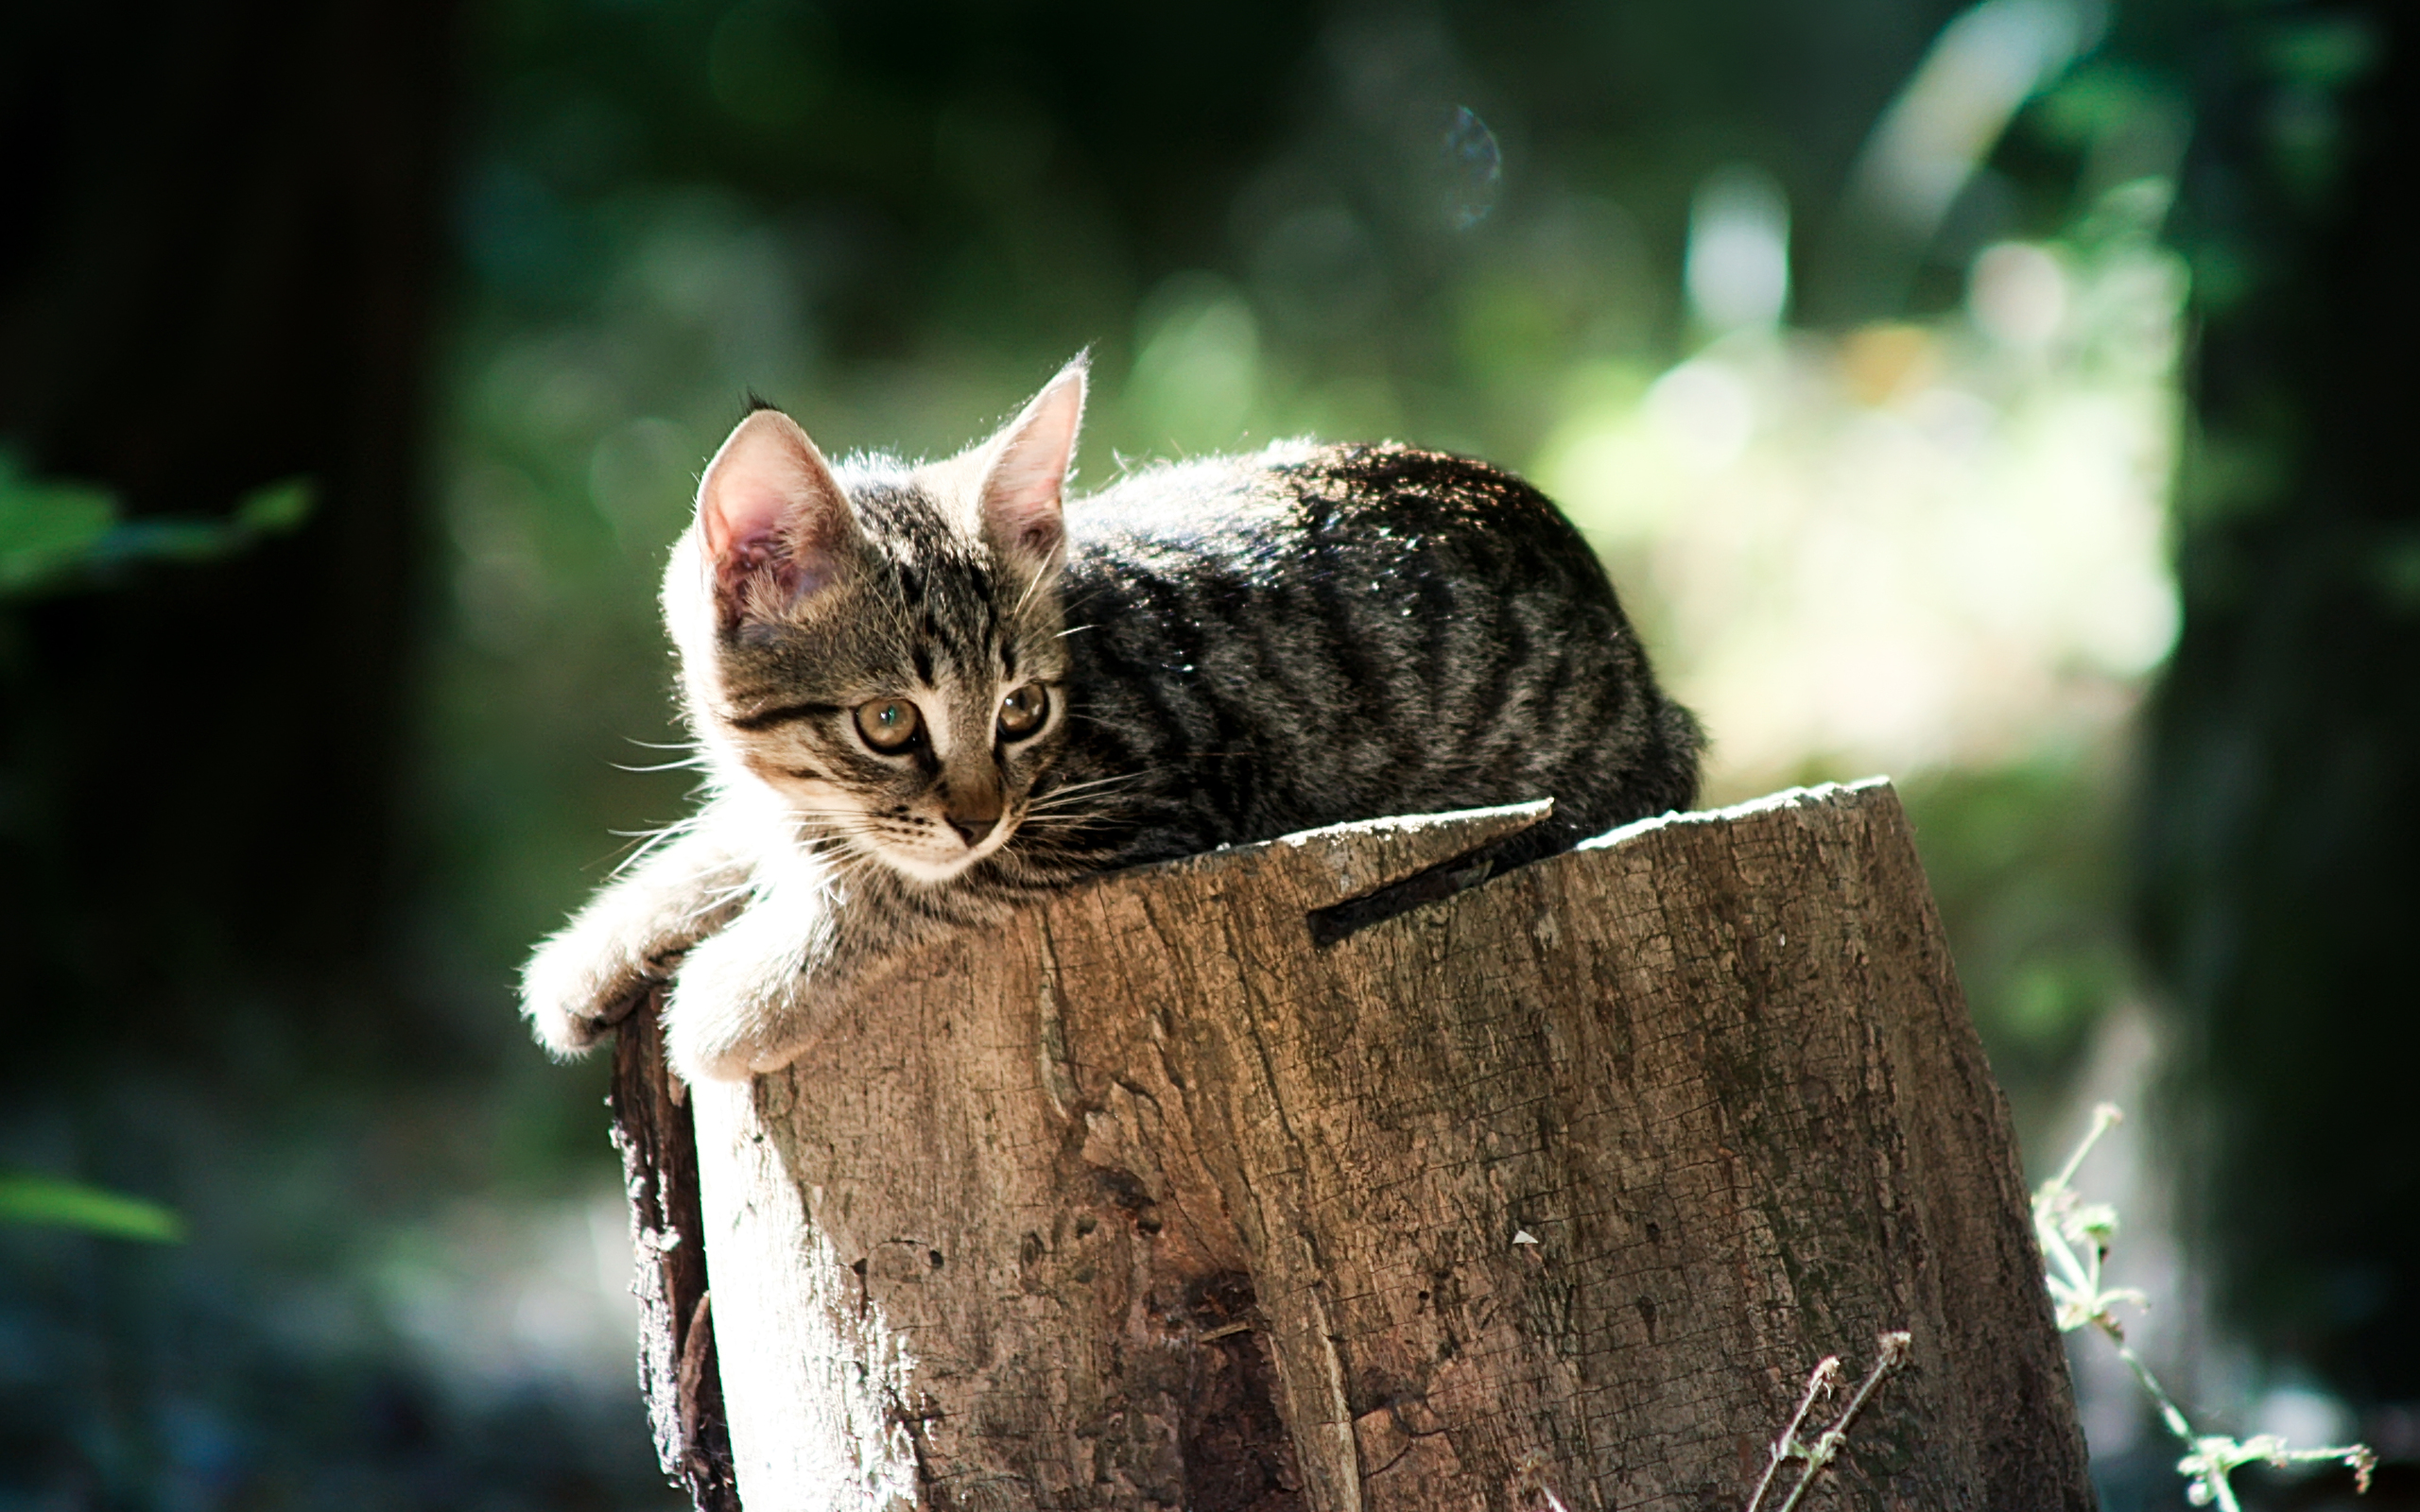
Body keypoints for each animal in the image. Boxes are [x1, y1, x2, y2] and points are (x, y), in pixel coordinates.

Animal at [525, 360, 1703, 1078]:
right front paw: (597, 947)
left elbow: (910, 890)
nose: (976, 813)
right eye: (889, 721)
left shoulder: (1135, 804)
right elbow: (744, 836)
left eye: (1022, 709)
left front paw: (733, 997)